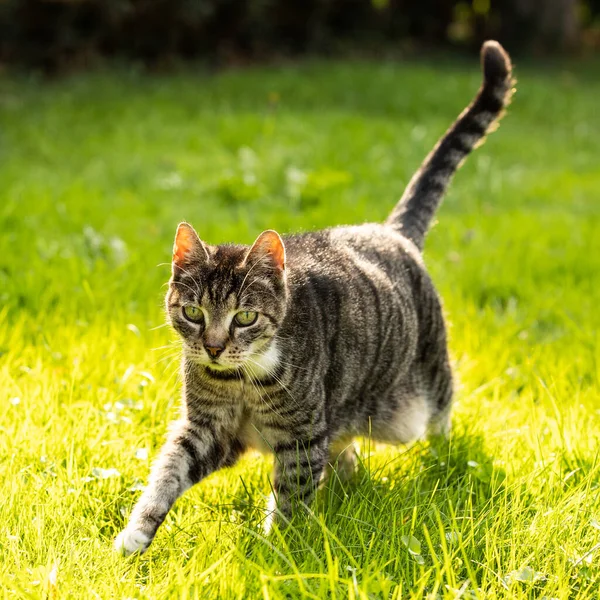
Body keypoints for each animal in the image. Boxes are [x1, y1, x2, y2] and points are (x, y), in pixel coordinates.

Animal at [115, 39, 512, 556]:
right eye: (193, 312)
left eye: (245, 316)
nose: (214, 348)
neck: (241, 380)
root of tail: (391, 231)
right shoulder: (207, 427)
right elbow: (168, 470)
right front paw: (136, 533)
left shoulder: (302, 435)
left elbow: (292, 494)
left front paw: (278, 549)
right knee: (344, 448)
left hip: (423, 384)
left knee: (439, 416)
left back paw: (441, 458)